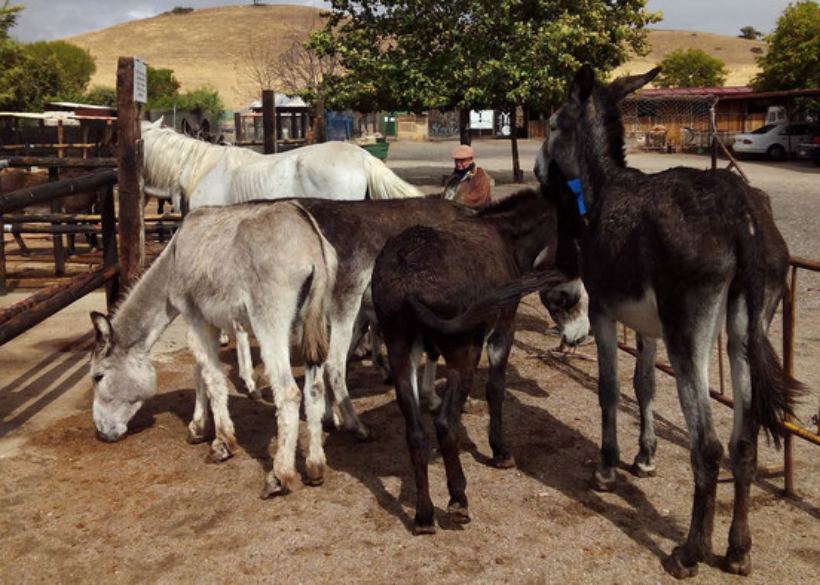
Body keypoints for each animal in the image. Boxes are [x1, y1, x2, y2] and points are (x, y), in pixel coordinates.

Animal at [93, 198, 340, 496]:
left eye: (98, 377)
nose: (101, 434)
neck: (172, 260)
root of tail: (310, 237)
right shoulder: (206, 320)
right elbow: (199, 372)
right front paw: (199, 427)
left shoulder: (194, 316)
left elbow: (211, 376)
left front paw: (222, 443)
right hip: (313, 322)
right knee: (315, 388)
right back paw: (315, 467)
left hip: (270, 322)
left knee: (289, 393)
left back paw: (279, 475)